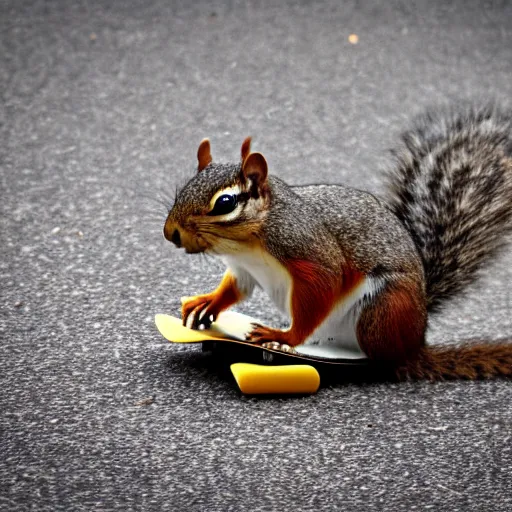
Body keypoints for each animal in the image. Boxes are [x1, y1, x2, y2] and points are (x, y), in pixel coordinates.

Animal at [164, 104, 512, 378]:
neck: (246, 244)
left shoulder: (309, 249)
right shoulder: (244, 269)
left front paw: (285, 336)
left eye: (225, 203)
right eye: (184, 188)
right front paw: (208, 302)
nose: (171, 233)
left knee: (381, 358)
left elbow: (323, 286)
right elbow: (235, 288)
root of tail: (415, 342)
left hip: (382, 309)